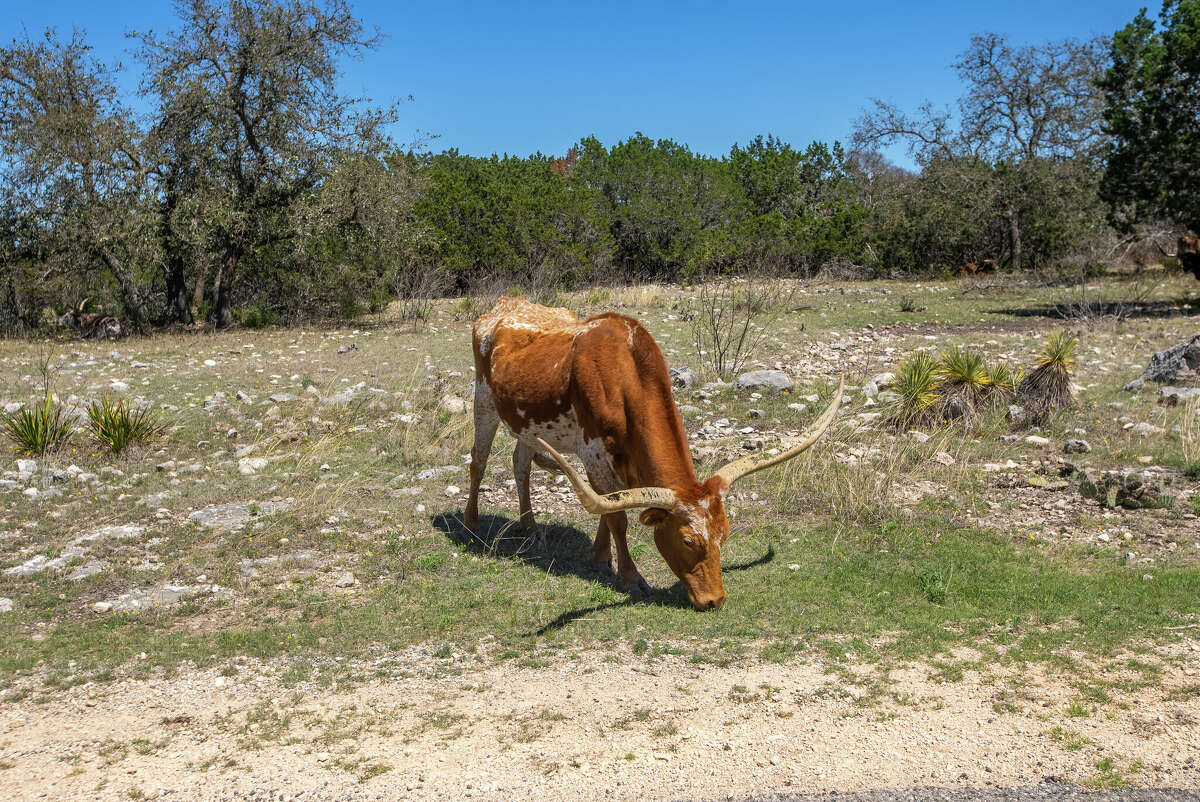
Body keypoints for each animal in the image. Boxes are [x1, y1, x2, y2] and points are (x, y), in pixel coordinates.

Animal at [463, 297, 840, 609]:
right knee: (478, 462)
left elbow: (608, 504)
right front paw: (630, 576)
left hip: (529, 425)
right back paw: (471, 524)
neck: (622, 373)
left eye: (725, 533)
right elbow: (616, 514)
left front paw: (601, 557)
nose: (715, 600)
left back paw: (531, 529)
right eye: (687, 541)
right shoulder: (593, 453)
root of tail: (505, 304)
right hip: (484, 405)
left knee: (520, 465)